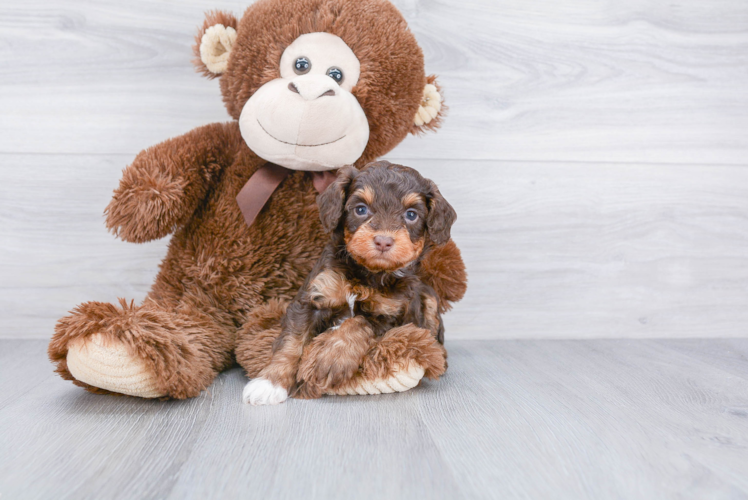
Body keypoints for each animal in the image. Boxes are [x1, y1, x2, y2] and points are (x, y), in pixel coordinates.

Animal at [245, 162, 456, 404]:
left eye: (411, 215)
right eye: (361, 209)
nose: (383, 241)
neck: (367, 274)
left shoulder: (390, 314)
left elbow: (358, 322)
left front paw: (330, 357)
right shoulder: (312, 297)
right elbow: (292, 342)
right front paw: (269, 383)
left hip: (428, 295)